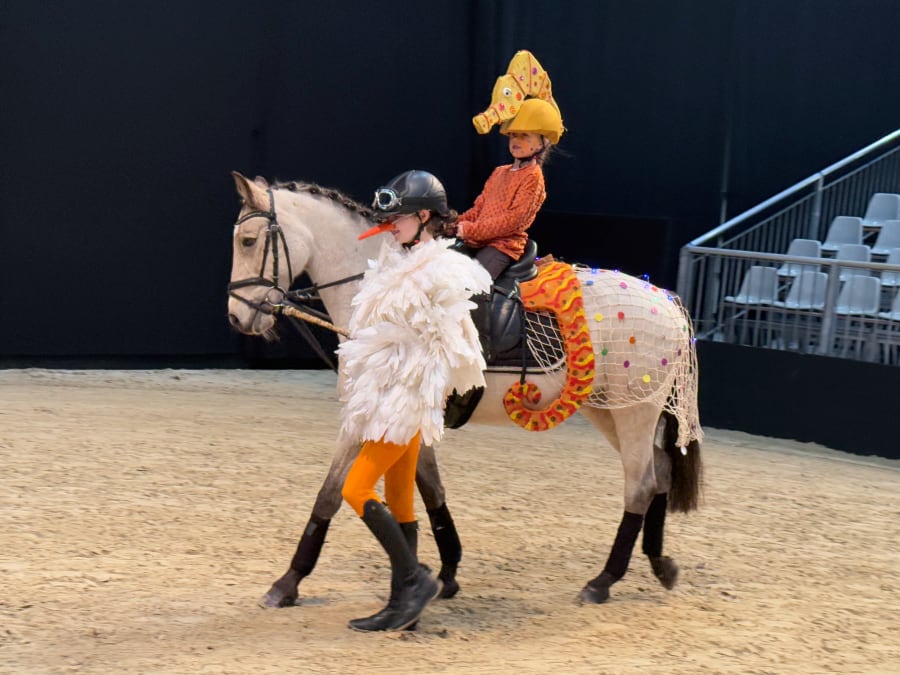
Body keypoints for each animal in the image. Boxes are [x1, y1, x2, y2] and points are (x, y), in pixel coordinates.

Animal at [226, 171, 703, 608]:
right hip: (608, 408)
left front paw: (288, 582)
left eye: (248, 241)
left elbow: (329, 493)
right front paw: (441, 571)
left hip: (633, 411)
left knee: (641, 483)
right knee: (660, 470)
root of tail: (666, 299)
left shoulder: (366, 413)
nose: (236, 317)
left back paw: (603, 581)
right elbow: (428, 489)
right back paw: (661, 565)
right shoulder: (407, 415)